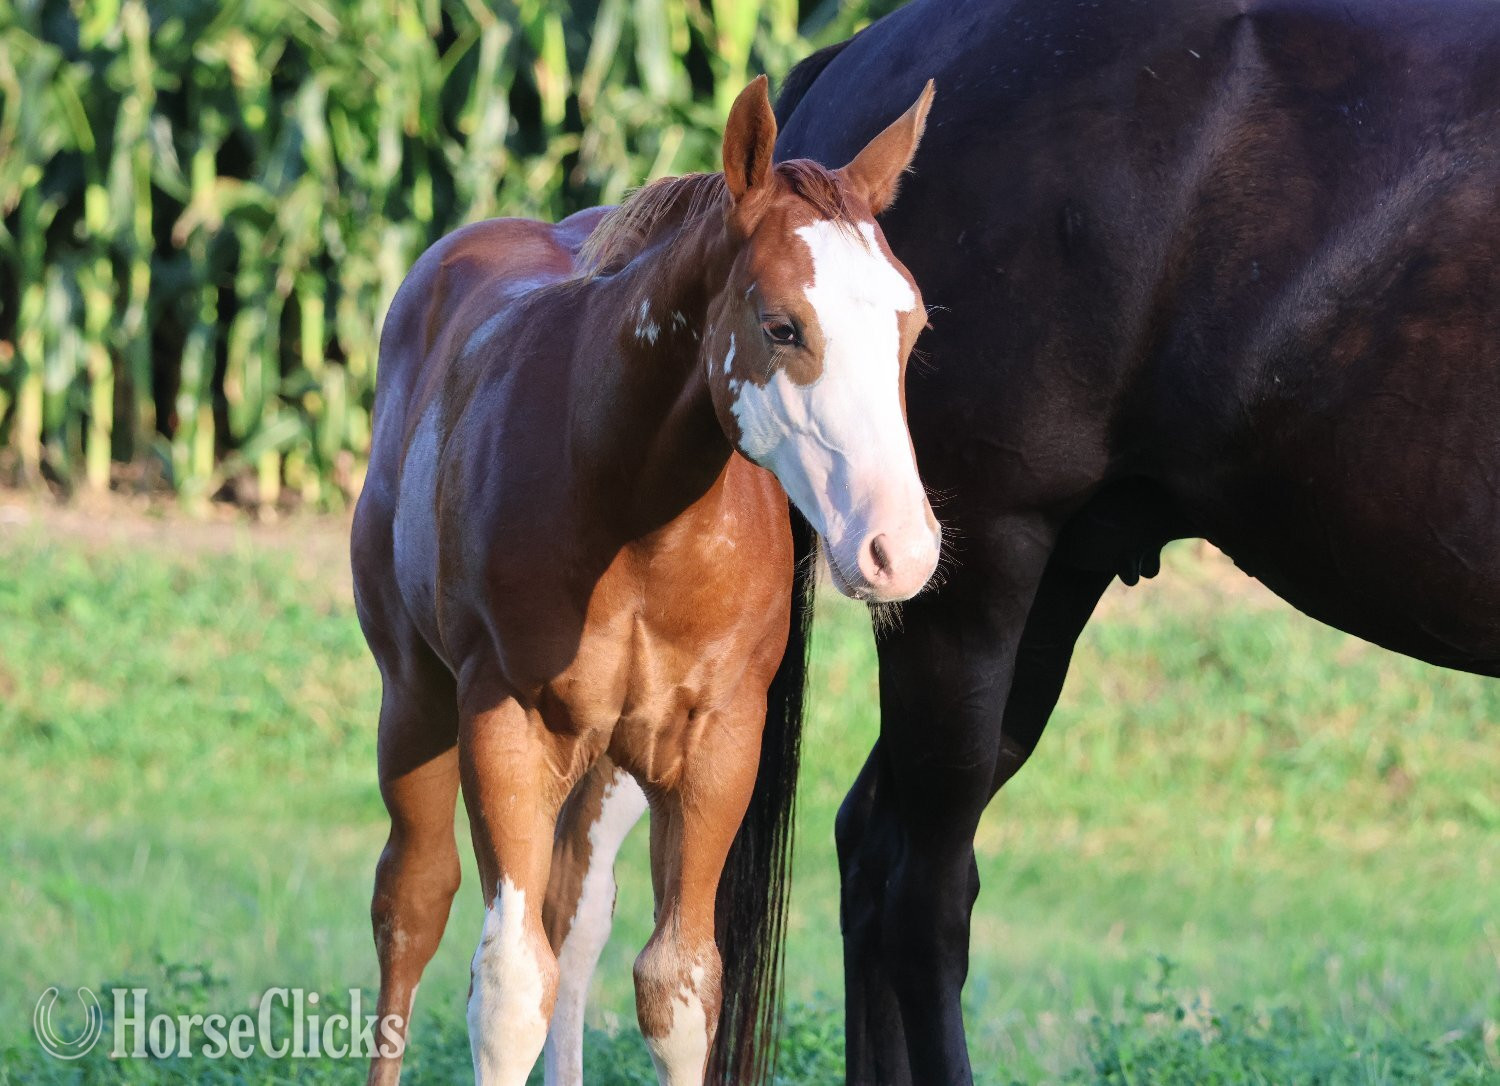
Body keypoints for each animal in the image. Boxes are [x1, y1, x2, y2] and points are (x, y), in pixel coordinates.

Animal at [349, 75, 941, 1086]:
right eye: (782, 325)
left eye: (912, 325)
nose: (899, 549)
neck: (633, 522)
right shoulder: (504, 727)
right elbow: (507, 990)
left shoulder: (717, 744)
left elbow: (678, 986)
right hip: (416, 701)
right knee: (413, 905)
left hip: (609, 767)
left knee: (574, 920)